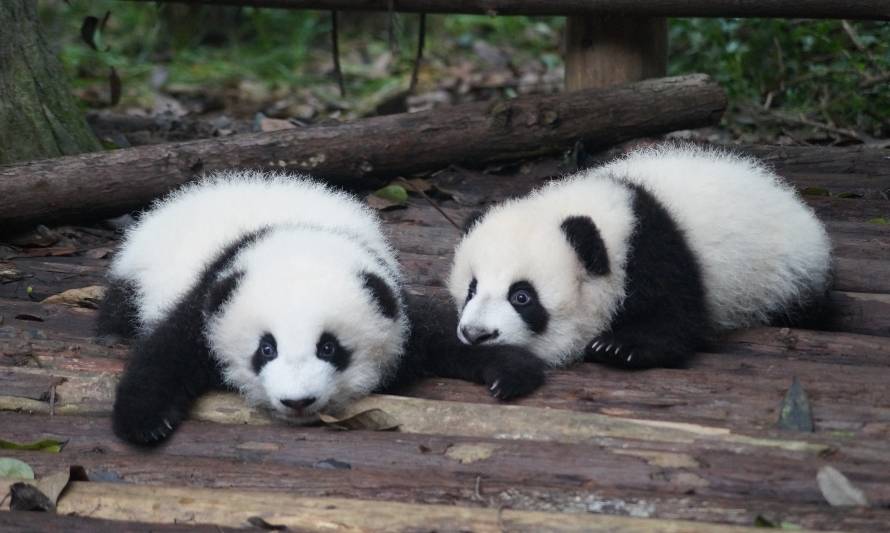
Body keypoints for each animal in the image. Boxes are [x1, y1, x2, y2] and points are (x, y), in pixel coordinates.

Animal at [99, 170, 540, 444]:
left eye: (329, 348)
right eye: (266, 349)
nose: (297, 402)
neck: (299, 235)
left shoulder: (390, 296)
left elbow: (442, 332)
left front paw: (509, 370)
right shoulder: (211, 294)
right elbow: (167, 351)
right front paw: (144, 422)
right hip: (136, 273)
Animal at [450, 143, 832, 374]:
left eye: (522, 297)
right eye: (472, 289)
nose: (476, 334)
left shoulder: (655, 250)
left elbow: (677, 317)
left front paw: (618, 347)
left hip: (786, 276)